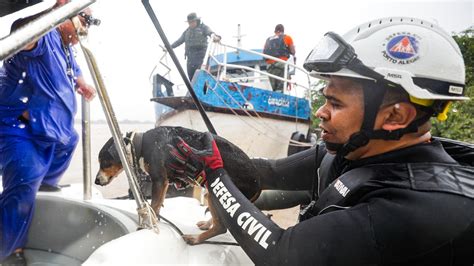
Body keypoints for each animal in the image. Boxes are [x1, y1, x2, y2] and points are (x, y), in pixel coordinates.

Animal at [94, 125, 262, 244]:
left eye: (105, 162)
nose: (96, 181)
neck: (141, 144)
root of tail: (258, 184)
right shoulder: (164, 182)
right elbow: (158, 204)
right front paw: (156, 219)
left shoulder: (159, 180)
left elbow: (154, 204)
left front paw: (148, 224)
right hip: (211, 193)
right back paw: (207, 224)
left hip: (216, 192)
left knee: (221, 226)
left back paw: (195, 239)